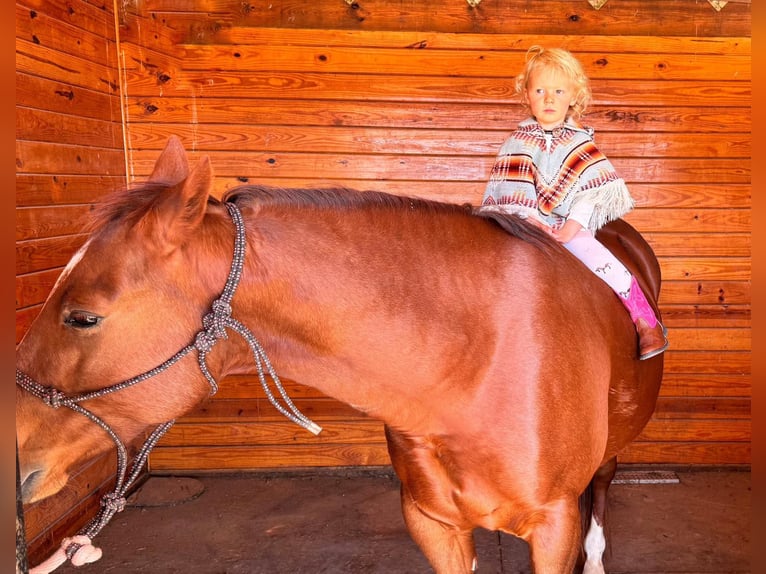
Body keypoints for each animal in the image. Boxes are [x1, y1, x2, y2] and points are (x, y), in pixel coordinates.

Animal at [18, 137, 664, 572]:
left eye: (82, 317)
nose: (14, 448)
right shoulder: (433, 524)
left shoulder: (553, 526)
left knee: (604, 483)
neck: (475, 360)